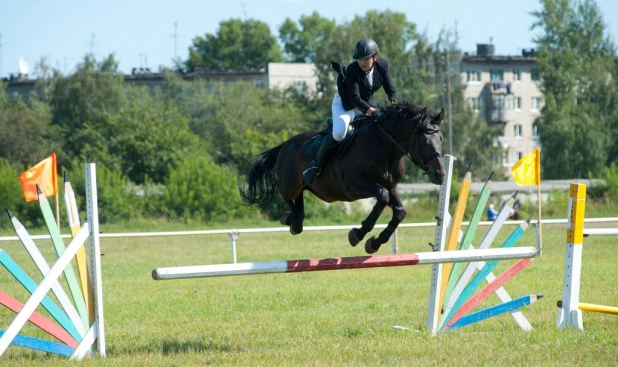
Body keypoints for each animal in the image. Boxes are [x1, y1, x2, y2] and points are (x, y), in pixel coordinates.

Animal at [237, 102, 442, 254]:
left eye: (441, 139)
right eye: (424, 140)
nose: (440, 174)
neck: (385, 147)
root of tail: (285, 144)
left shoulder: (392, 186)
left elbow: (399, 211)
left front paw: (374, 243)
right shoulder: (355, 184)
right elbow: (382, 198)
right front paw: (358, 234)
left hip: (306, 185)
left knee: (300, 197)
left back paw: (293, 219)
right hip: (290, 184)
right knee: (287, 195)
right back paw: (294, 221)